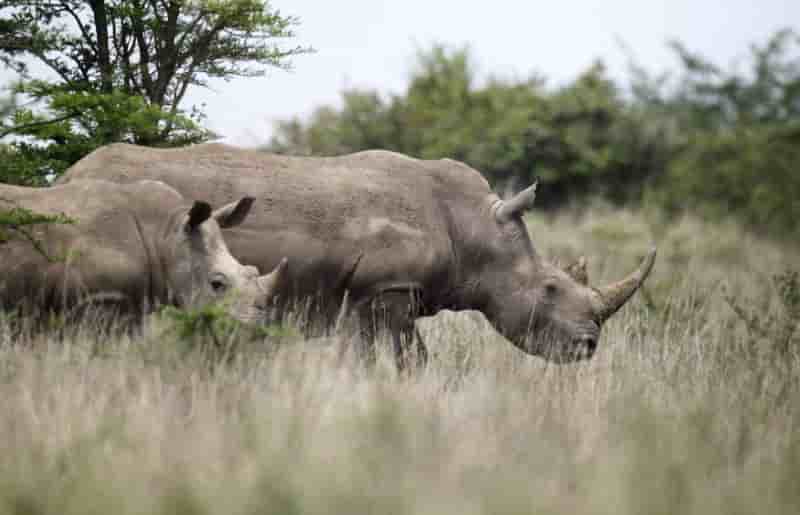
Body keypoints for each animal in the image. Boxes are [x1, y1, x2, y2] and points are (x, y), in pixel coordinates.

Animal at [61, 144, 656, 366]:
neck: (474, 229)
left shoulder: (361, 298)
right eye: (550, 288)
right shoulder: (387, 289)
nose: (588, 347)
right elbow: (411, 359)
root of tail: (67, 176)